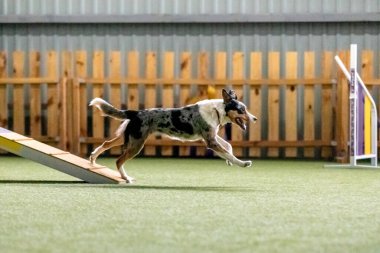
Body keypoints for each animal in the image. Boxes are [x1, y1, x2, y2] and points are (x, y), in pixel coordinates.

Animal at [88, 88, 256, 182]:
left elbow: (228, 146)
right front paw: (243, 163)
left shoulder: (211, 136)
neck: (217, 110)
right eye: (241, 110)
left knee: (106, 144)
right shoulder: (210, 141)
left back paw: (93, 159)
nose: (255, 119)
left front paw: (229, 161)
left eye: (246, 109)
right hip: (136, 144)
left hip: (128, 138)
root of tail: (135, 112)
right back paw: (126, 178)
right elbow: (229, 153)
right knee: (119, 160)